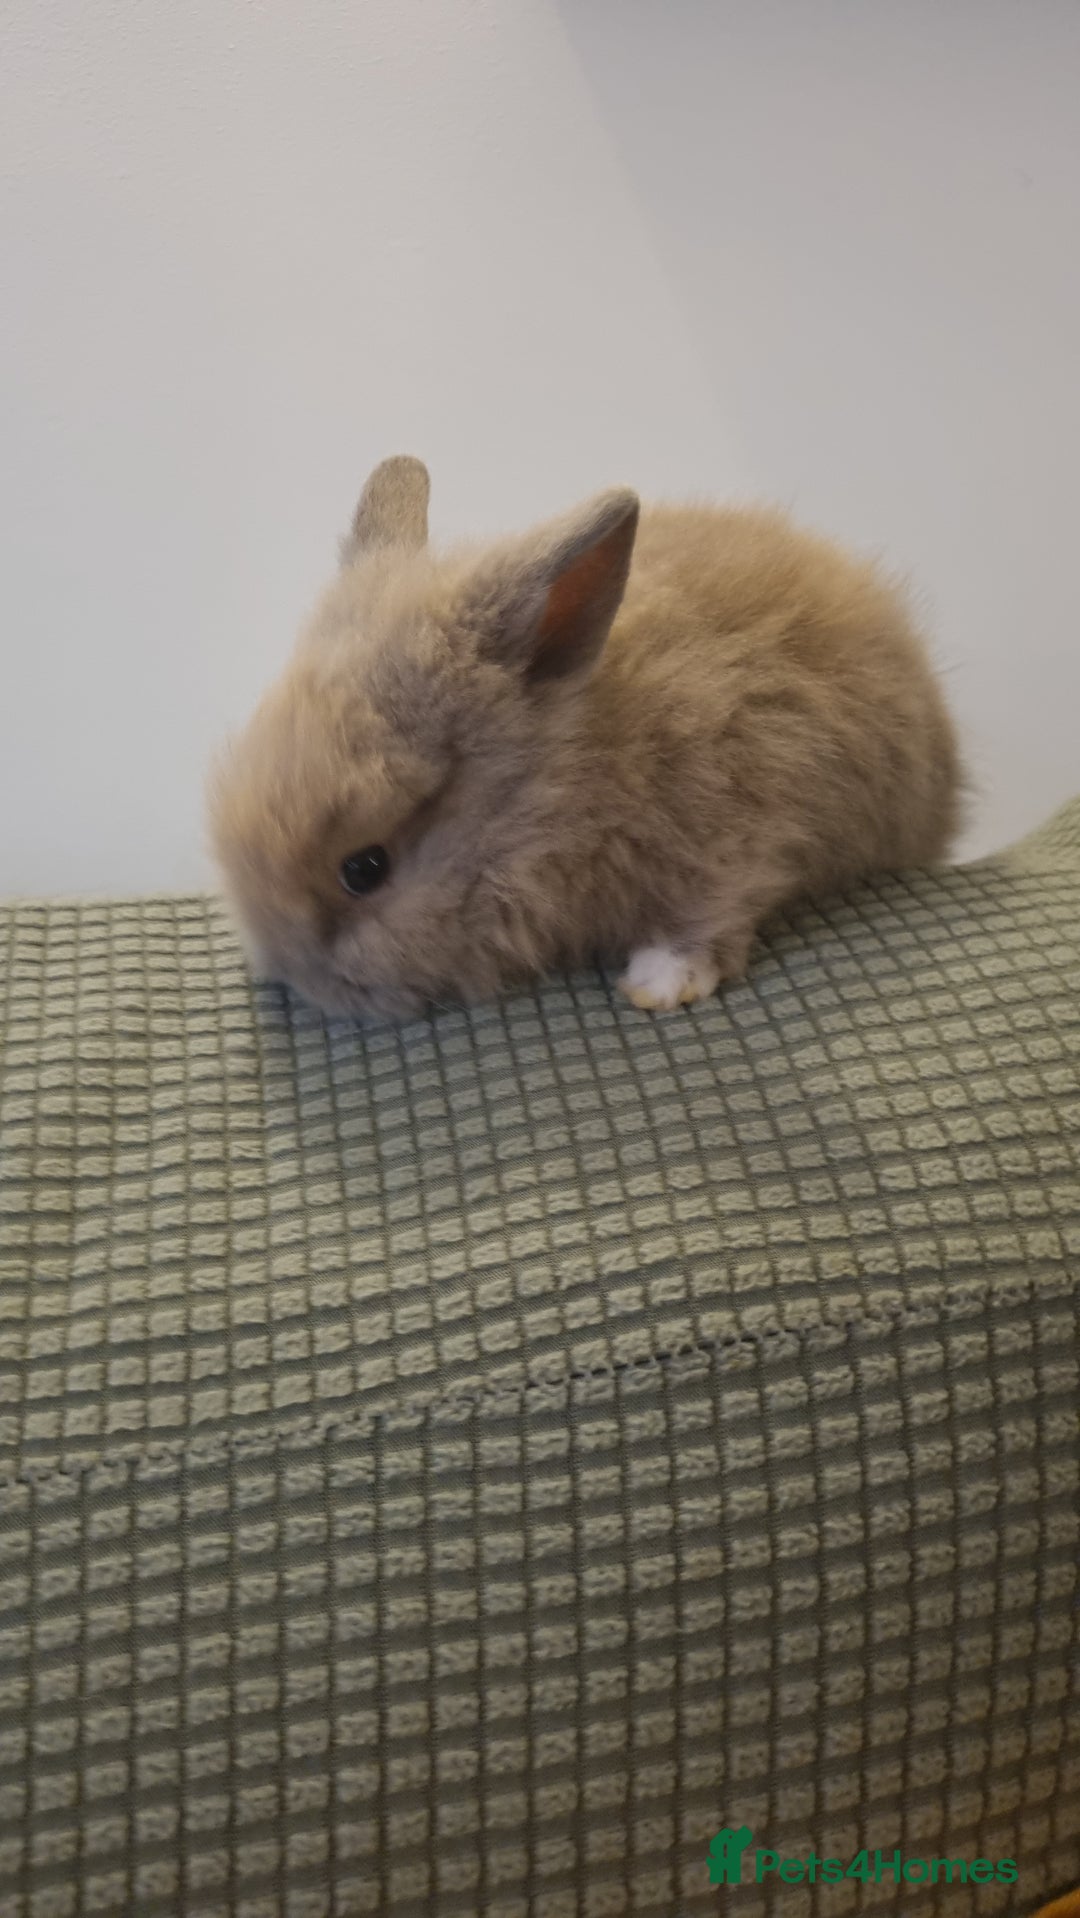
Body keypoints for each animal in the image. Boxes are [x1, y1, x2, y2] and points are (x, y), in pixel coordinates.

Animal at [208, 455, 963, 1021]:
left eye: (365, 869)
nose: (292, 979)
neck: (569, 790)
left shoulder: (743, 821)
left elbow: (714, 907)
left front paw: (661, 982)